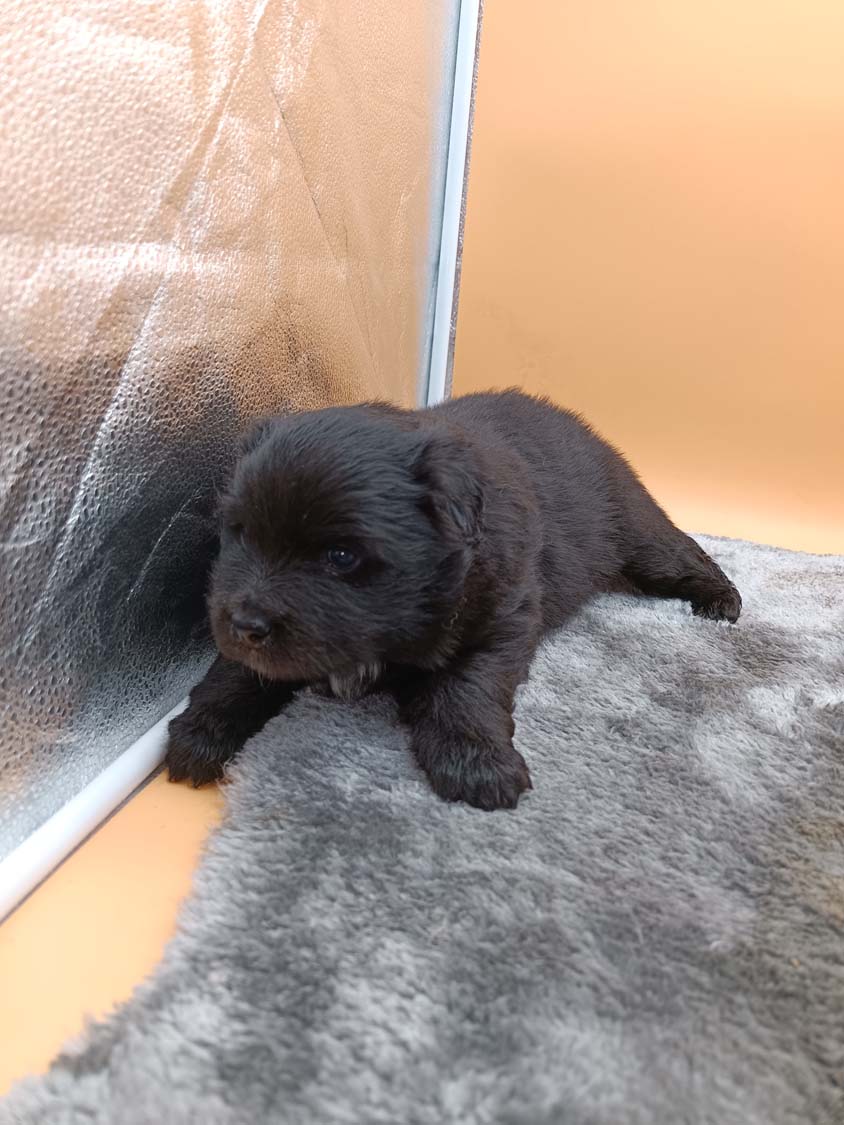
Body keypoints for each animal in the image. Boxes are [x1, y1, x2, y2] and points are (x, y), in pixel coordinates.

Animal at [165, 390, 741, 810]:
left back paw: (721, 601)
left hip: (637, 533)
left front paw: (475, 761)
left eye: (341, 556)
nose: (246, 623)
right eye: (240, 534)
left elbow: (464, 688)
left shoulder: (500, 619)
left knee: (684, 553)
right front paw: (201, 731)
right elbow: (236, 672)